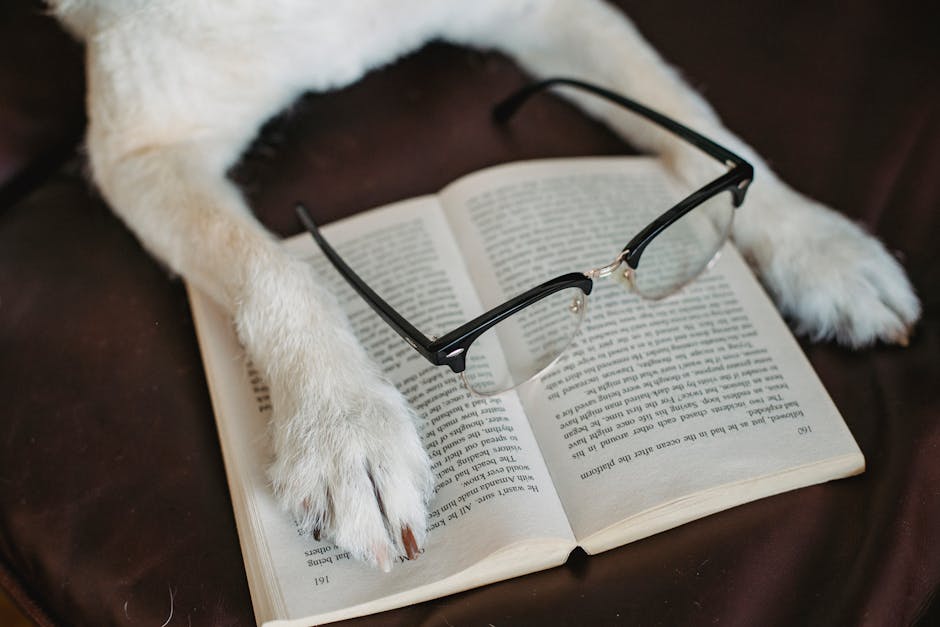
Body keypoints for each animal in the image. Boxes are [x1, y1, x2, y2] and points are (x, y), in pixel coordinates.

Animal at [49, 0, 916, 568]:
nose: (820, 245)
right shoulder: (139, 148)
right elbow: (274, 265)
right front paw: (343, 425)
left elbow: (696, 119)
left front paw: (818, 244)